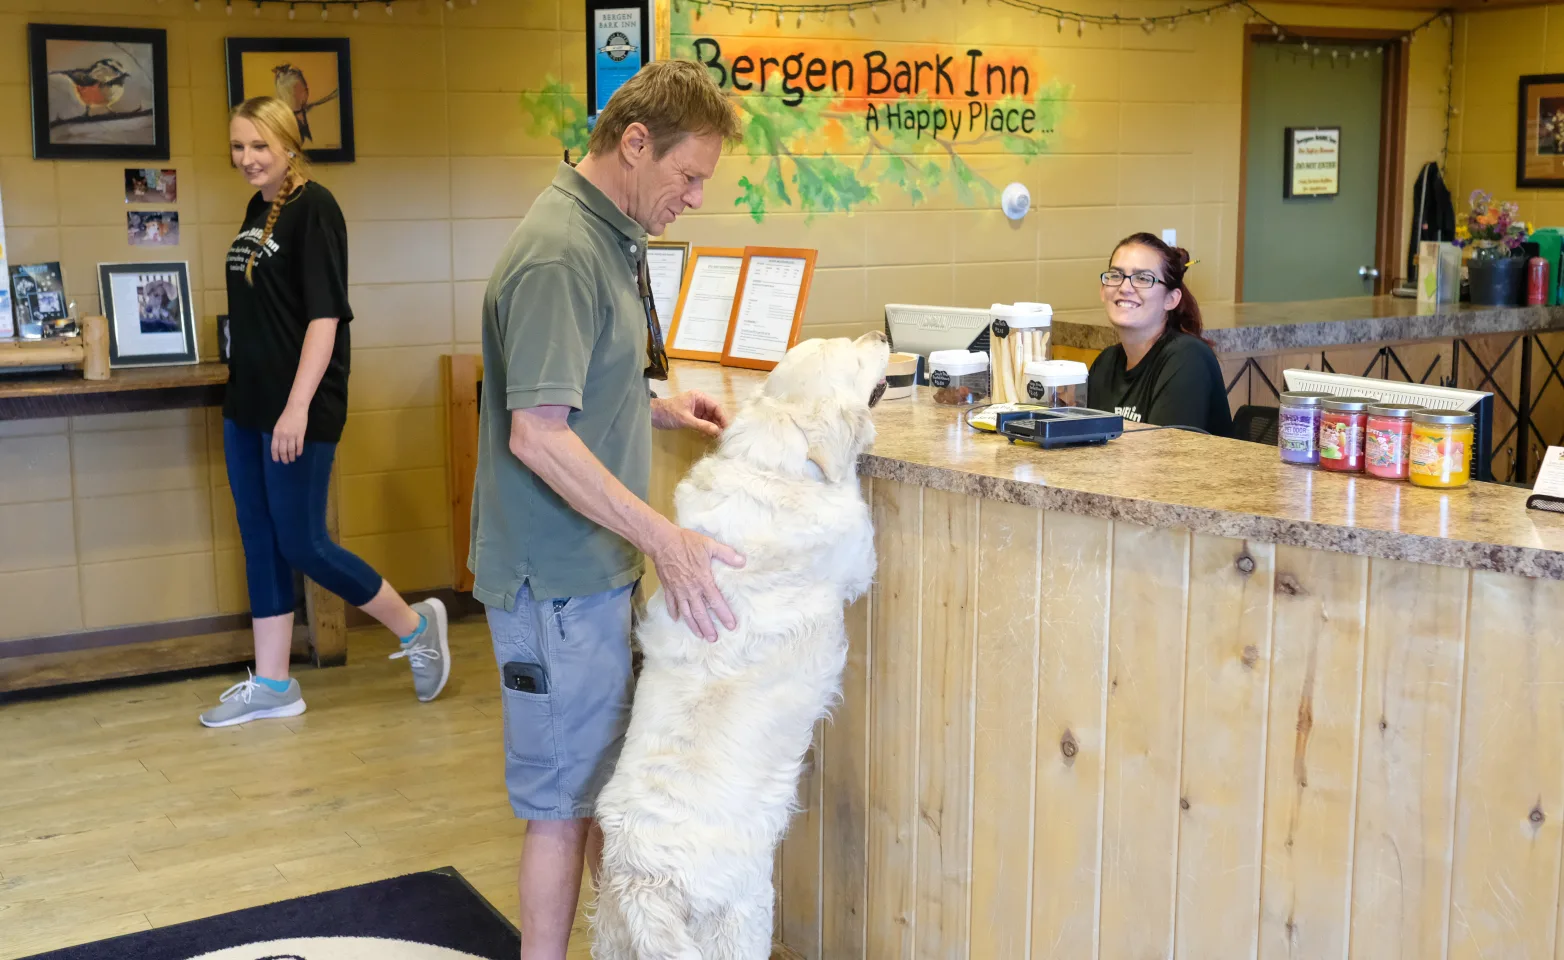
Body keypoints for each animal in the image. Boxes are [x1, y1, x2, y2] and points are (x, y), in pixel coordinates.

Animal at [591, 333, 894, 960]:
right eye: (852, 353)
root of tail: (644, 883)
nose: (879, 336)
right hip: (746, 913)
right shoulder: (856, 553)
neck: (773, 461)